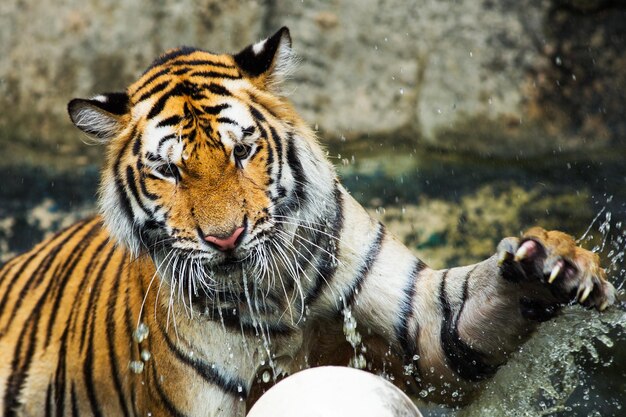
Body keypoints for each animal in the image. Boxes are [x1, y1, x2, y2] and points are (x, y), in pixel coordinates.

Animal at [0, 27, 616, 414]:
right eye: (169, 171)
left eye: (242, 151)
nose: (226, 237)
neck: (273, 295)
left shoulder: (420, 325)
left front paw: (555, 264)